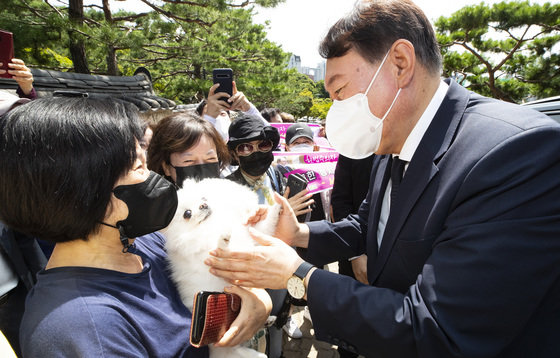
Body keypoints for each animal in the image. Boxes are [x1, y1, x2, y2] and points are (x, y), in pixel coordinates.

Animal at [162, 178, 280, 356]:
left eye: (203, 198)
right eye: (187, 214)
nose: (203, 205)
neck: (210, 225)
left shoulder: (250, 235)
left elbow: (265, 226)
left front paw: (278, 206)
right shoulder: (211, 258)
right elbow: (220, 249)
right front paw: (223, 238)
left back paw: (268, 320)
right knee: (237, 351)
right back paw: (258, 354)